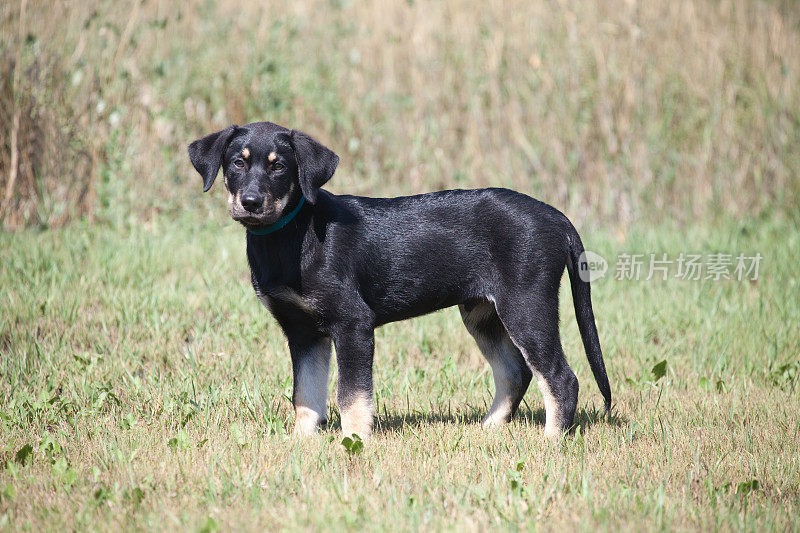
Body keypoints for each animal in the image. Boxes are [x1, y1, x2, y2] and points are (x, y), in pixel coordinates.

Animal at [189, 122, 612, 438]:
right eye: (237, 163)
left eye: (279, 167)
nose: (251, 202)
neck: (292, 235)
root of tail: (557, 218)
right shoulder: (303, 332)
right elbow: (306, 394)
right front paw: (302, 443)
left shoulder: (353, 324)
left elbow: (351, 394)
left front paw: (353, 441)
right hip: (483, 314)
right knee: (515, 372)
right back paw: (489, 429)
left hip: (527, 306)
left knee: (561, 377)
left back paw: (551, 442)